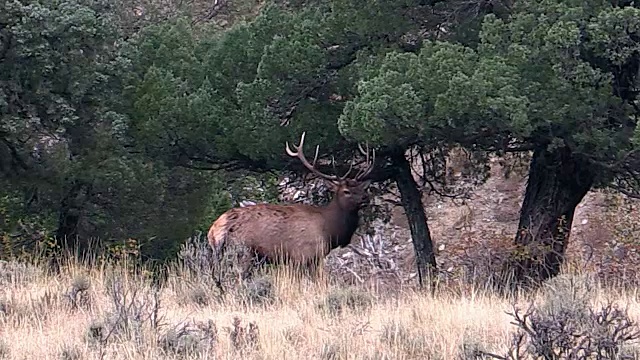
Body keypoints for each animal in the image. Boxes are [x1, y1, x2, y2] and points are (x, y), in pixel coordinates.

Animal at [208, 132, 376, 276]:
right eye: (346, 191)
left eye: (361, 188)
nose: (365, 198)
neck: (329, 230)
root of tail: (215, 230)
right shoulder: (303, 255)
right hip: (243, 252)